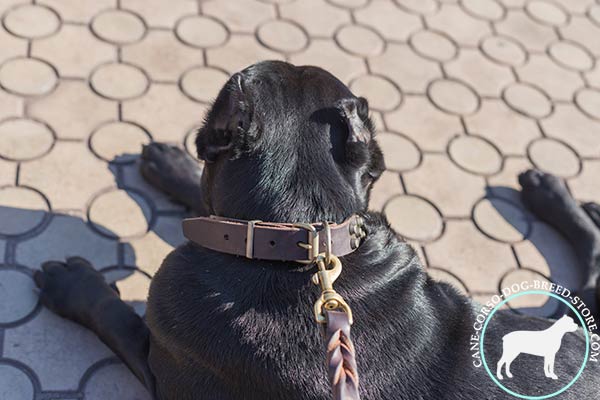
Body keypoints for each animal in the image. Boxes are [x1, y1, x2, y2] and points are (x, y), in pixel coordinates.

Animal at [36, 61, 600, 398]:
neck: (298, 232)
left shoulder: (166, 362)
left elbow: (114, 317)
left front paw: (73, 283)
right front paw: (169, 163)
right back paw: (556, 193)